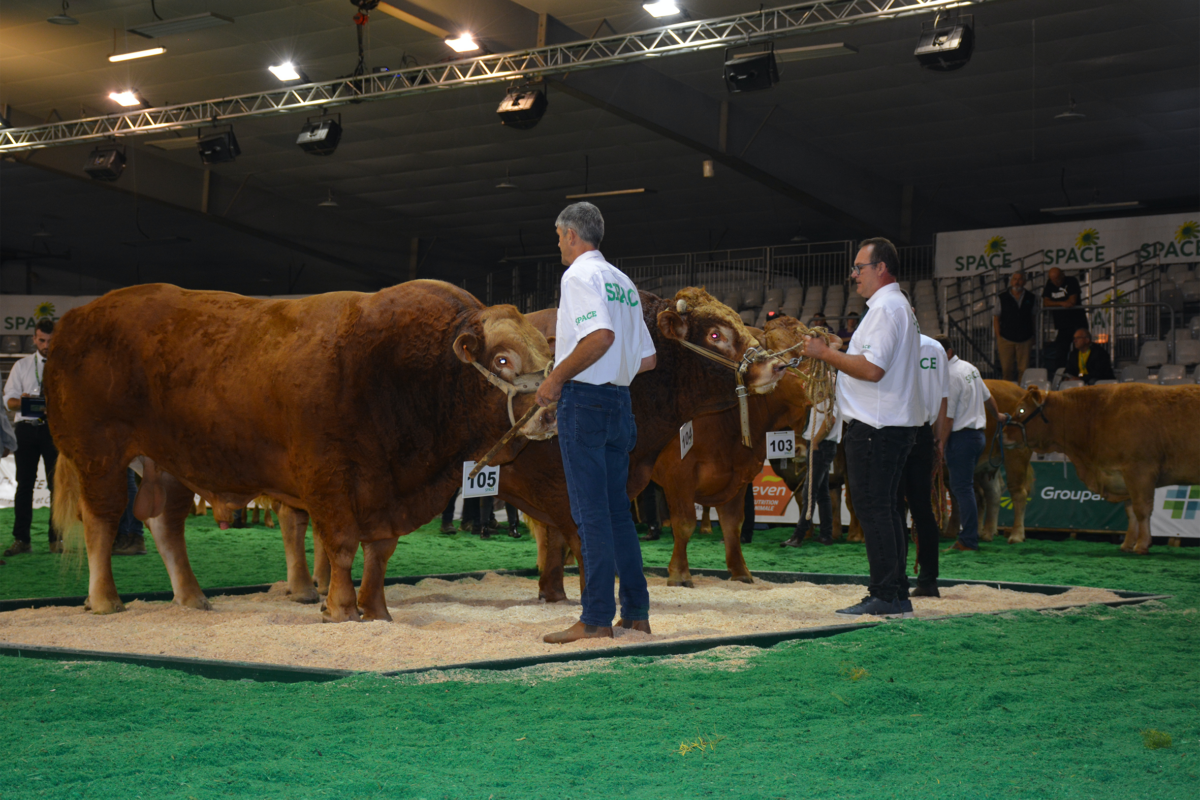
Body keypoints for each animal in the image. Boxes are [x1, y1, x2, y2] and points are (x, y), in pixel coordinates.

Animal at [45, 281, 552, 618]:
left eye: (548, 358)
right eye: (503, 358)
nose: (549, 410)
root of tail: (77, 316)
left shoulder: (385, 490)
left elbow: (379, 552)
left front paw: (377, 610)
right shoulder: (327, 474)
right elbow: (342, 544)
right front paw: (341, 608)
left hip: (166, 460)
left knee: (165, 523)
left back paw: (192, 596)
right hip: (98, 455)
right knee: (102, 520)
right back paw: (105, 600)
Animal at [506, 287, 787, 599]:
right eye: (715, 334)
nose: (777, 365)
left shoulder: (737, 476)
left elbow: (731, 524)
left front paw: (741, 573)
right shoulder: (677, 473)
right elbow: (681, 523)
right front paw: (678, 575)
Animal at [1003, 383, 1200, 554]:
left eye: (1021, 409)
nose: (1003, 433)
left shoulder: (1140, 469)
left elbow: (1141, 509)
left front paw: (1142, 544)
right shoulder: (1123, 476)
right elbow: (1130, 512)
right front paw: (1128, 544)